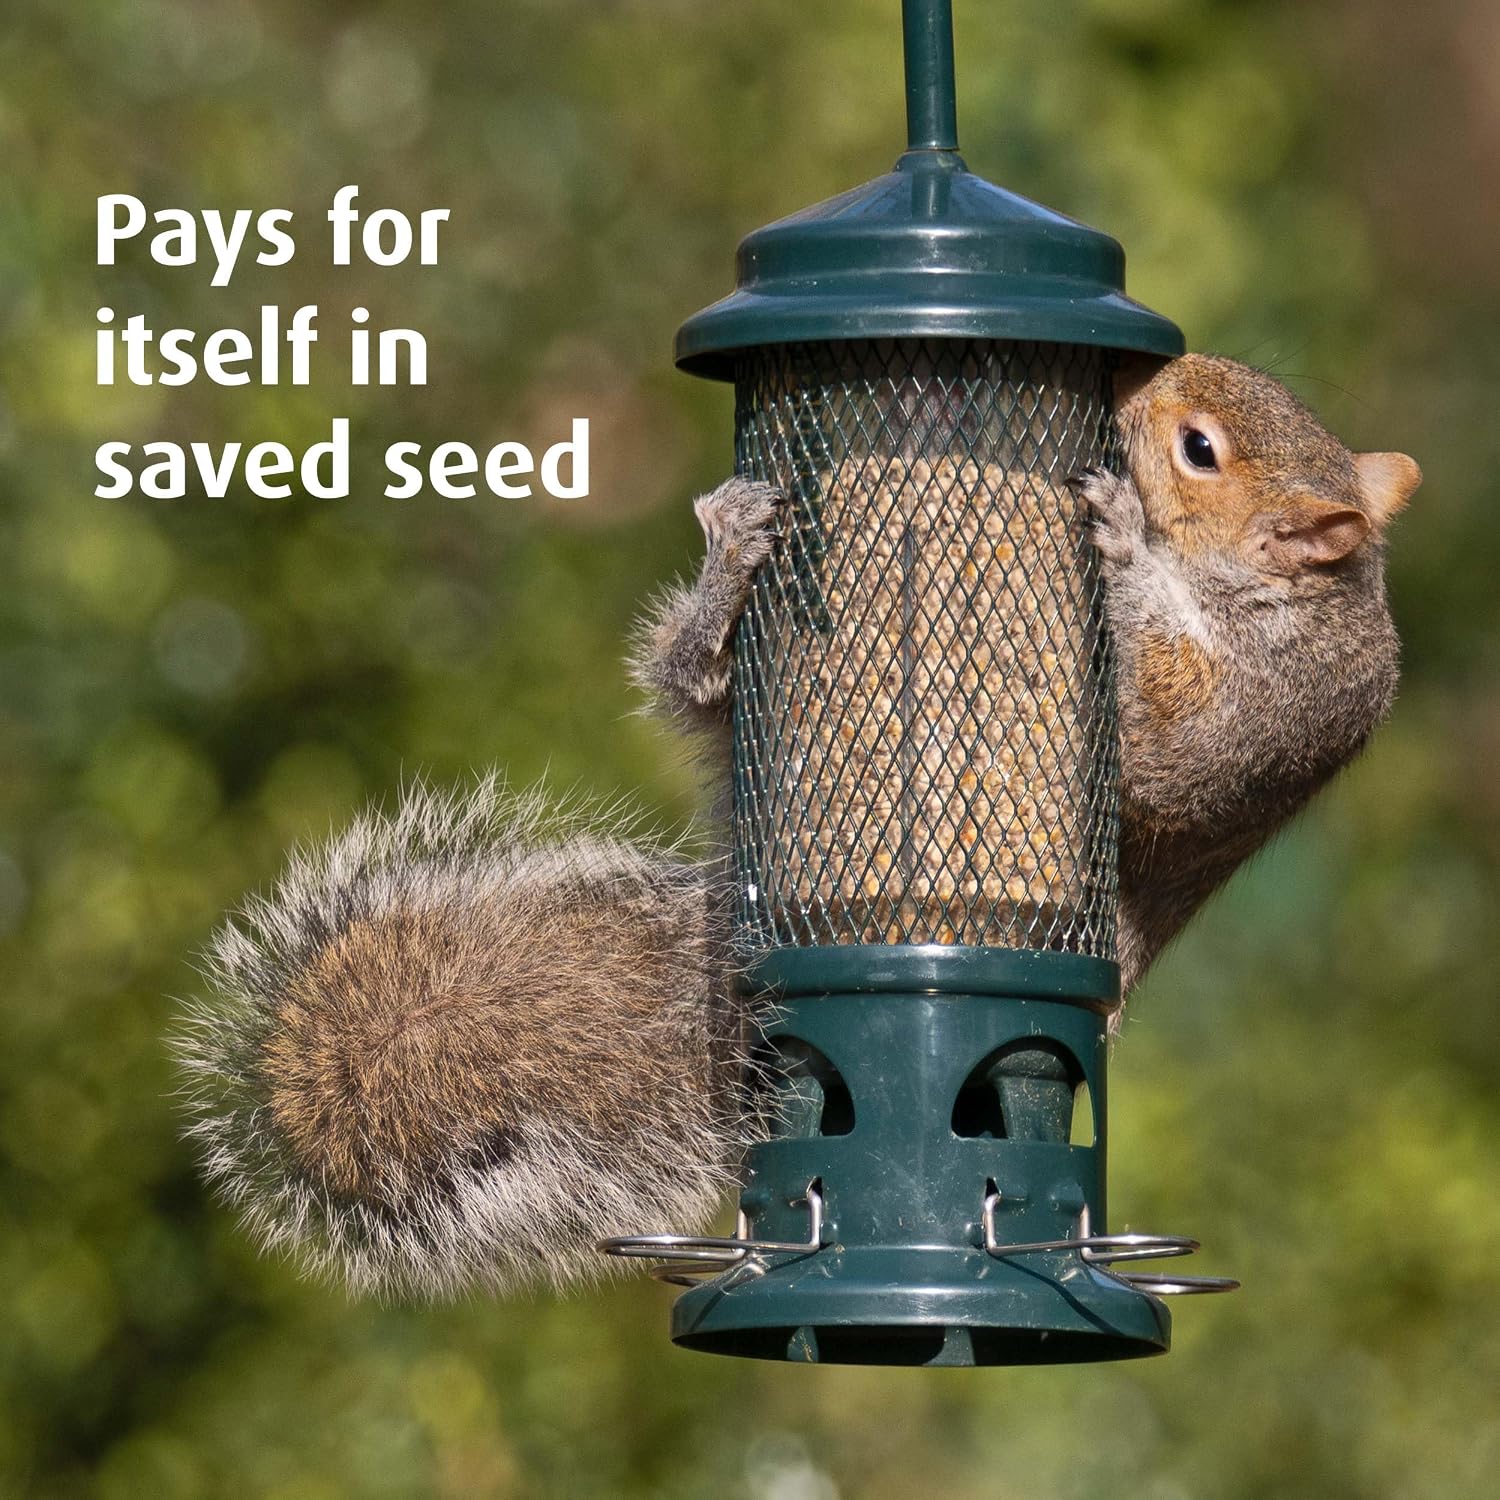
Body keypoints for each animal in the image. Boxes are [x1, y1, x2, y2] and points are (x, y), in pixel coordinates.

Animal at [177, 353, 1418, 1298]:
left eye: (1199, 449)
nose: (1130, 384)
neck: (1296, 604)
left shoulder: (1240, 728)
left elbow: (1157, 748)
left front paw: (1115, 533)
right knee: (692, 677)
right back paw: (728, 572)